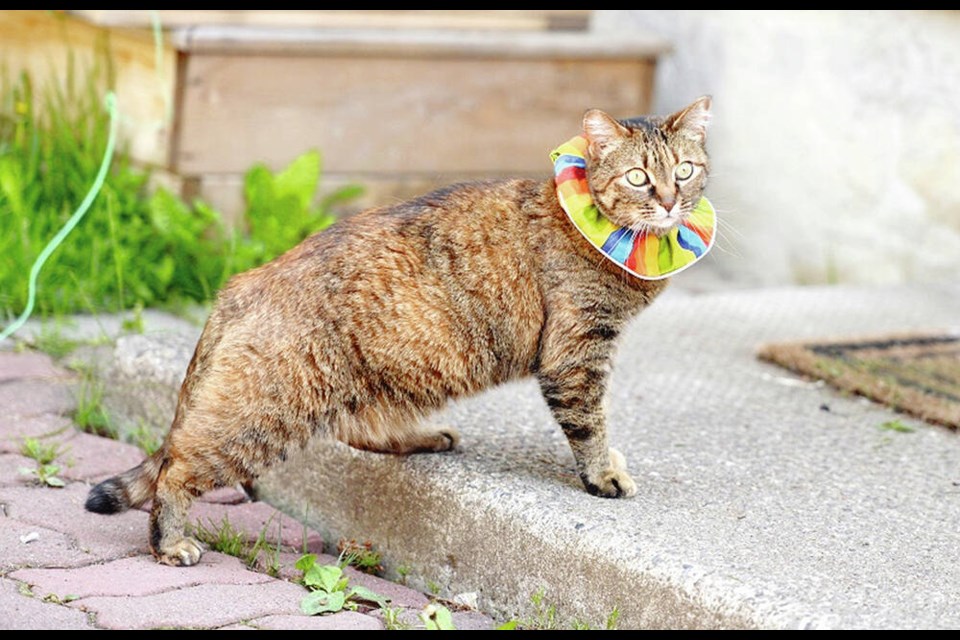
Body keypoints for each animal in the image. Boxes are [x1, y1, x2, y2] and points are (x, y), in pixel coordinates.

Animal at [84, 96, 712, 564]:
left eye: (684, 171)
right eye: (638, 177)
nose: (671, 201)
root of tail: (239, 285)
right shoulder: (576, 354)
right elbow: (589, 425)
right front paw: (603, 475)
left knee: (354, 430)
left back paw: (425, 438)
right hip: (264, 417)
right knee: (177, 467)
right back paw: (170, 542)